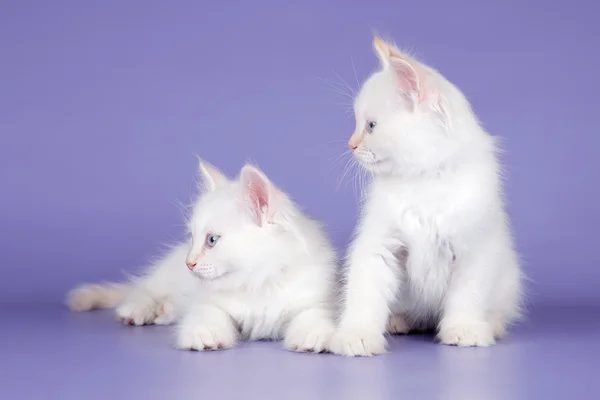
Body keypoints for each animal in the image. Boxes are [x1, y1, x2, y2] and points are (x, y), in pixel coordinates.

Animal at [67, 161, 338, 352]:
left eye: (212, 240)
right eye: (192, 237)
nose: (189, 263)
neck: (258, 283)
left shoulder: (315, 299)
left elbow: (314, 316)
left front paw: (311, 336)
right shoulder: (208, 302)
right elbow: (207, 315)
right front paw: (204, 336)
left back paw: (164, 312)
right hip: (165, 276)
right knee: (143, 288)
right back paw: (136, 311)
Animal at [330, 36, 524, 356]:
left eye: (371, 126)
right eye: (358, 124)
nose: (350, 144)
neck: (424, 182)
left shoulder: (474, 250)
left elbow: (467, 296)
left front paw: (464, 330)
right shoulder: (380, 245)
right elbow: (365, 293)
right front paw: (357, 335)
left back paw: (491, 325)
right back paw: (398, 321)